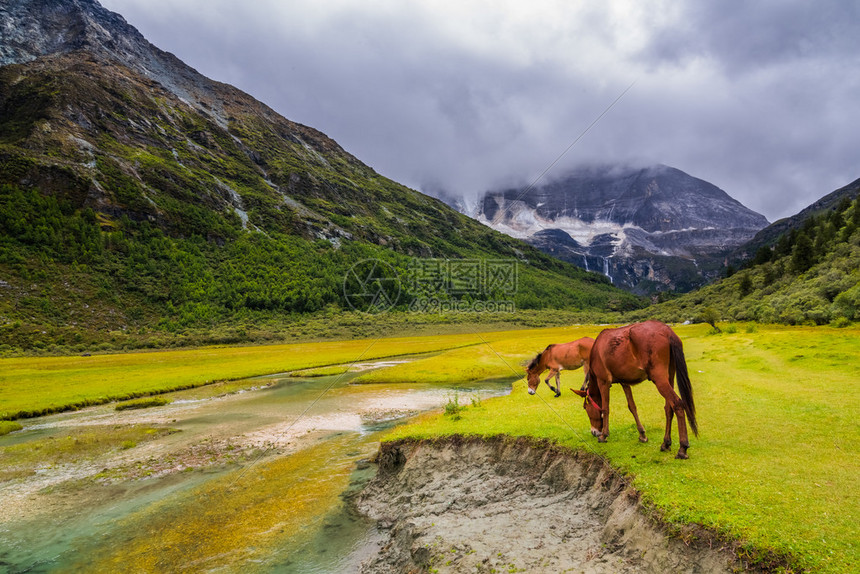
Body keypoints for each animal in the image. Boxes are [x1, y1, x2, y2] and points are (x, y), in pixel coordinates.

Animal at [572, 322, 700, 462]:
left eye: (585, 408)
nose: (594, 432)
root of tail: (667, 331)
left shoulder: (603, 381)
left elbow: (605, 408)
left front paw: (604, 435)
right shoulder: (624, 382)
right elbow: (632, 406)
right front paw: (642, 435)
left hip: (659, 378)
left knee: (677, 404)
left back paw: (682, 448)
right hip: (669, 376)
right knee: (668, 408)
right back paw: (666, 443)